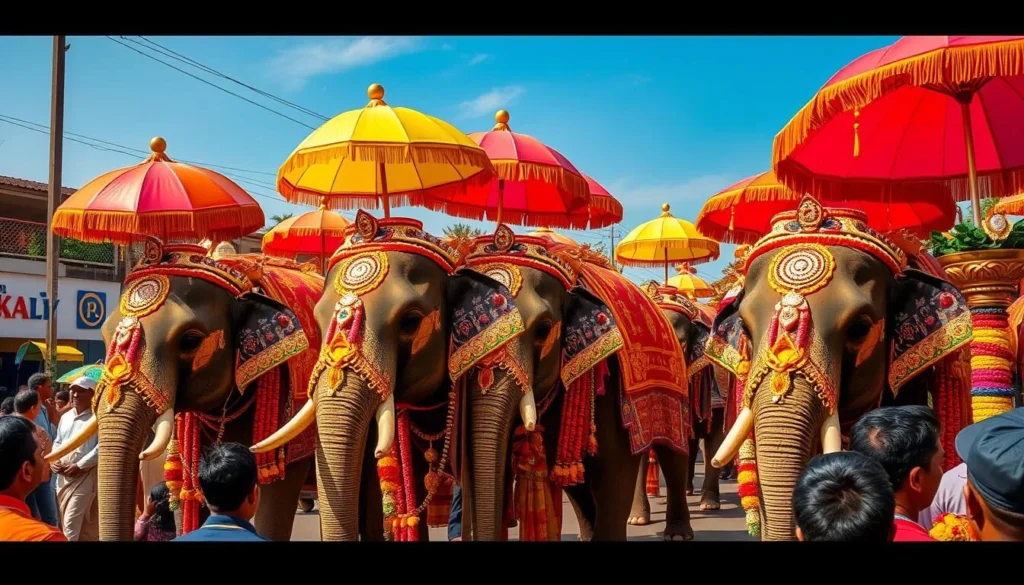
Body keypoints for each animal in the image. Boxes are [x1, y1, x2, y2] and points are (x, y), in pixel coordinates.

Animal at [459, 227, 694, 541]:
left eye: (543, 330)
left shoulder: (611, 378)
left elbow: (616, 470)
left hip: (673, 385)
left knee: (673, 449)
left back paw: (677, 534)